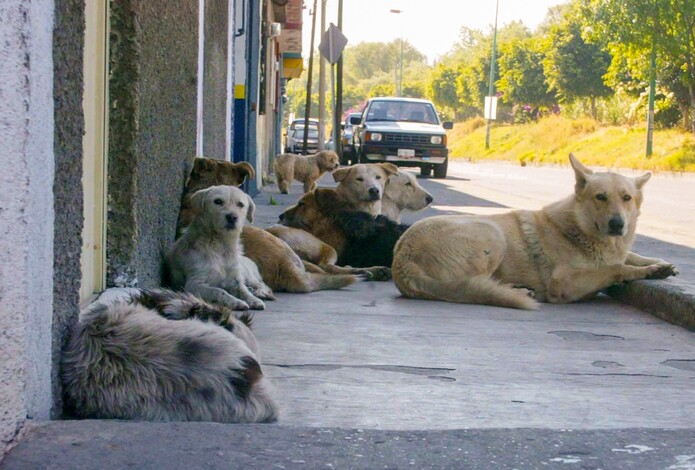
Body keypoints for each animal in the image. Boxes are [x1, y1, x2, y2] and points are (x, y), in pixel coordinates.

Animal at [392, 152, 680, 310]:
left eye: (627, 198)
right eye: (600, 197)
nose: (618, 224)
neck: (582, 230)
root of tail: (402, 261)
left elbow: (629, 257)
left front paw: (657, 264)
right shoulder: (564, 284)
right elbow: (615, 268)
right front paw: (646, 271)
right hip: (492, 232)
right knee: (474, 284)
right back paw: (517, 292)